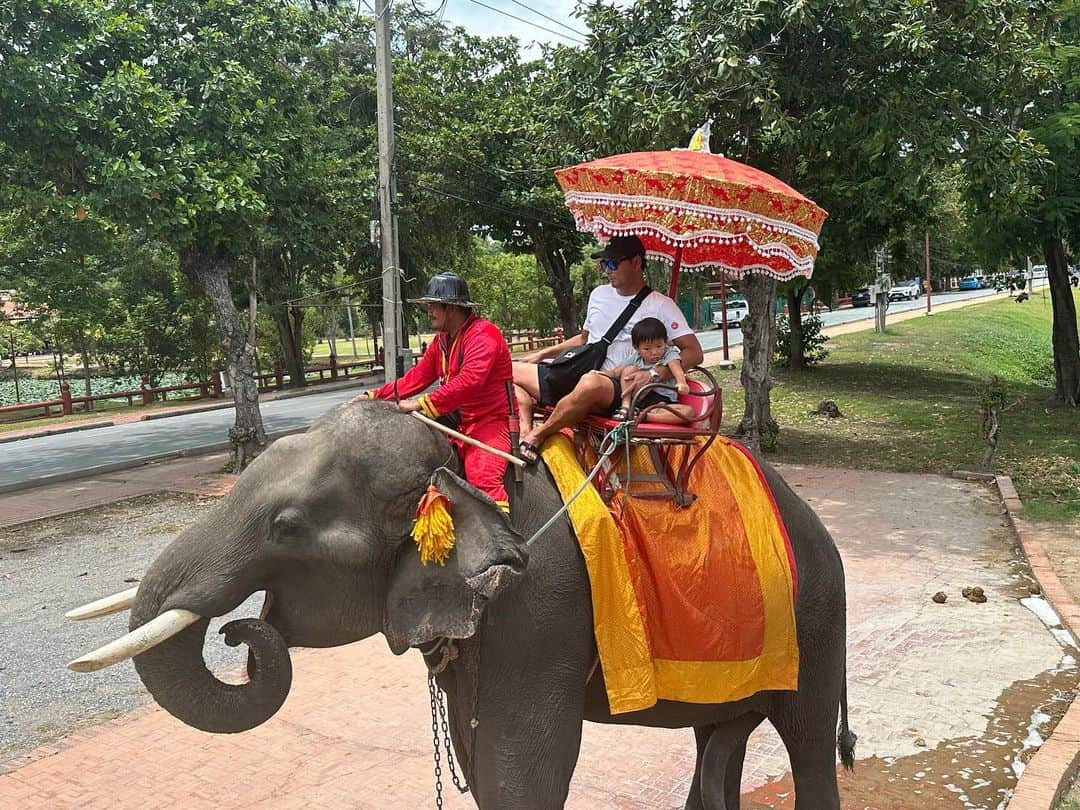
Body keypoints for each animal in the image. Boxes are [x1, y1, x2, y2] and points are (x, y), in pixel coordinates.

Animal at [71, 403, 855, 810]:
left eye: (285, 526)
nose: (241, 634)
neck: (459, 462)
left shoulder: (542, 608)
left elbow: (523, 765)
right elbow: (479, 761)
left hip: (817, 616)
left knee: (808, 739)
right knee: (720, 735)